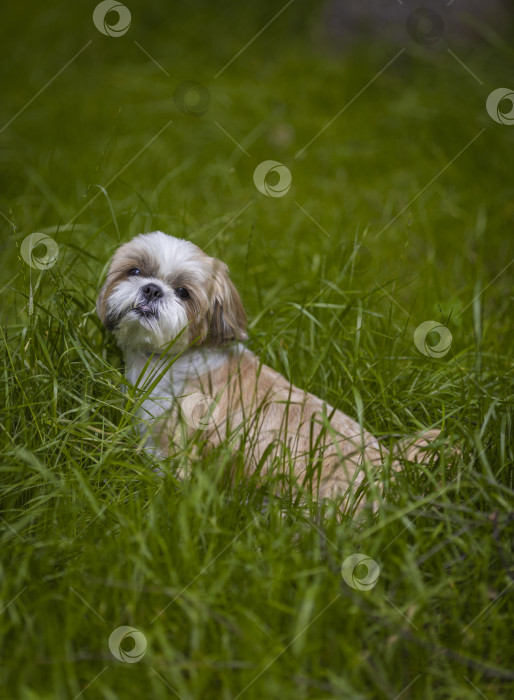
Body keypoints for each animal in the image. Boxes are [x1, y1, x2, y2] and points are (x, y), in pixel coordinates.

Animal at [98, 232, 442, 512]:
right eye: (135, 271)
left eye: (183, 292)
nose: (152, 290)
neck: (169, 359)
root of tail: (391, 470)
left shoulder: (173, 443)